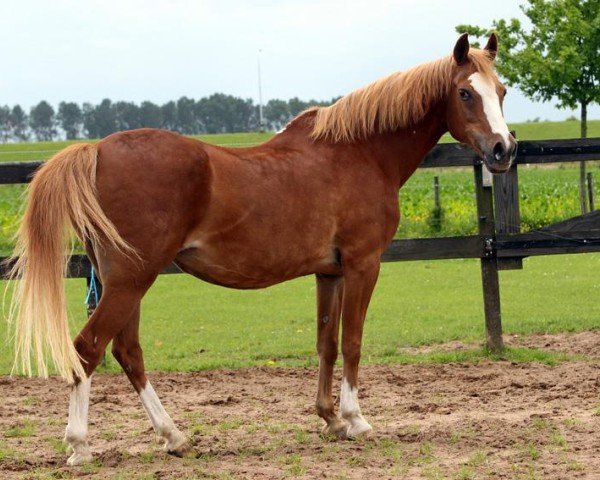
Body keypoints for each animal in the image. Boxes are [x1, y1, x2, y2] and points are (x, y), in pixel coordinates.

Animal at [7, 32, 516, 464]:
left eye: (503, 91)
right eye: (466, 93)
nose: (503, 150)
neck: (360, 153)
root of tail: (96, 150)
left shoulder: (329, 272)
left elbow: (327, 343)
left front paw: (330, 418)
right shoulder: (362, 265)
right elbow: (353, 342)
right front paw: (355, 420)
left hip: (123, 282)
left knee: (127, 352)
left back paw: (175, 437)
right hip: (131, 279)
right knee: (88, 349)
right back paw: (80, 445)